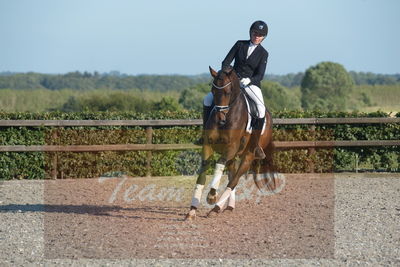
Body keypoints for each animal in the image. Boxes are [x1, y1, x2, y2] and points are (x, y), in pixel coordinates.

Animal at [185, 66, 276, 221]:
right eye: (213, 91)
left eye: (227, 92)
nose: (220, 119)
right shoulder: (208, 145)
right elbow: (203, 170)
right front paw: (192, 210)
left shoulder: (231, 147)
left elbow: (219, 164)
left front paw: (211, 196)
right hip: (233, 157)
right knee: (232, 176)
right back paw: (228, 207)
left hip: (248, 155)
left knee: (234, 180)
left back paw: (216, 208)